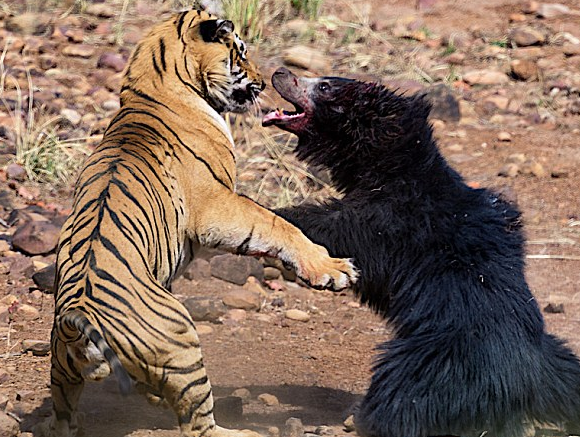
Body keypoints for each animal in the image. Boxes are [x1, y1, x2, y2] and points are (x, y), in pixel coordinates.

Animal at [37, 9, 358, 436]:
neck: (149, 85)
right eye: (240, 52)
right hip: (181, 341)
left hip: (62, 372)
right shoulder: (216, 205)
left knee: (64, 413)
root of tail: (79, 318)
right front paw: (332, 268)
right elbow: (275, 224)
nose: (262, 80)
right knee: (199, 423)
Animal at [264, 66, 580, 436]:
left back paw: (367, 417)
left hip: (434, 365)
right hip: (558, 362)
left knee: (400, 400)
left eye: (324, 87)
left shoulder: (391, 220)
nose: (279, 72)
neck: (393, 165)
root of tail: (525, 382)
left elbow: (337, 228)